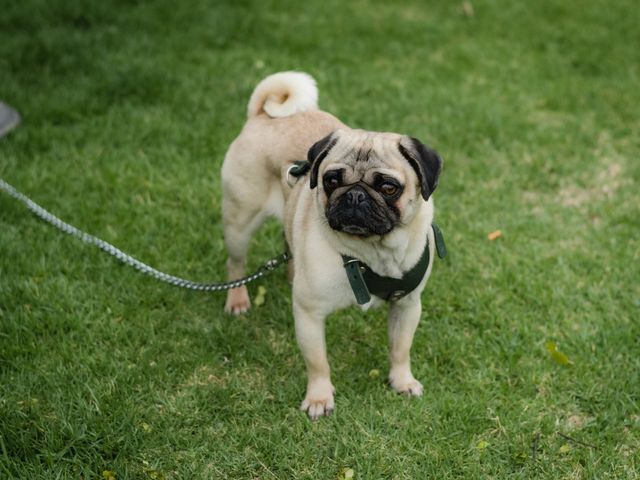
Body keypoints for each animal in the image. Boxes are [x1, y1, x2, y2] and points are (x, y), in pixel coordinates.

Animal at [220, 71, 440, 420]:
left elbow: (400, 348)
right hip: (240, 221)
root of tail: (261, 116)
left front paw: (402, 381)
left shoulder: (407, 305)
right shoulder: (310, 315)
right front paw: (319, 398)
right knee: (236, 263)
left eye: (389, 188)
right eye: (331, 180)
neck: (371, 254)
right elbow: (318, 362)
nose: (355, 195)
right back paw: (237, 299)